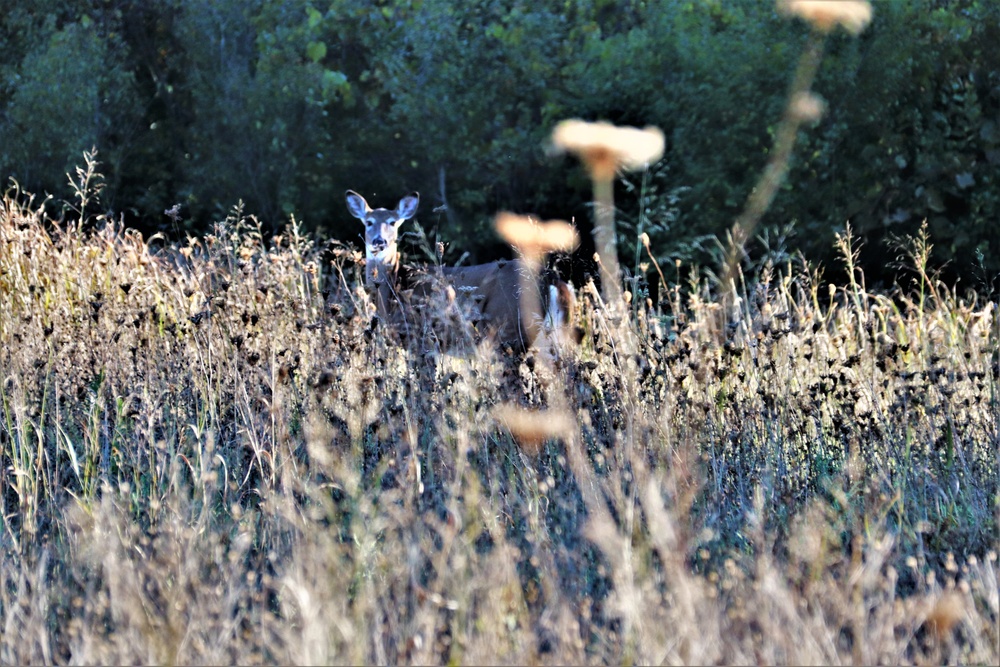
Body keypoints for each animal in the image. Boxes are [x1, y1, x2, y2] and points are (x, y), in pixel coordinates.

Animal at [348, 188, 580, 354]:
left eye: (392, 222)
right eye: (368, 222)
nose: (379, 241)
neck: (394, 285)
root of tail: (551, 278)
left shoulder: (419, 340)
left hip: (509, 330)